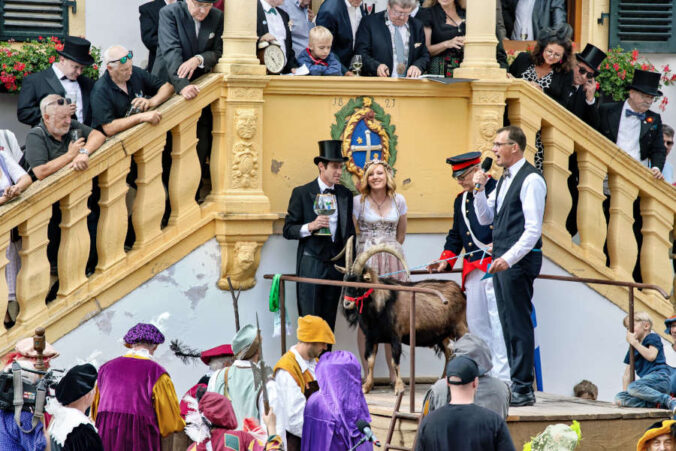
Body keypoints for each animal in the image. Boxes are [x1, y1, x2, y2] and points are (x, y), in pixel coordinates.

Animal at [336, 238, 468, 394]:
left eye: (358, 284)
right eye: (345, 281)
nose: (347, 304)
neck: (381, 307)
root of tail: (459, 291)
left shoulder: (396, 336)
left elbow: (395, 361)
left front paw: (399, 388)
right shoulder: (371, 337)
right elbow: (370, 360)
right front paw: (366, 386)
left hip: (460, 327)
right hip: (443, 334)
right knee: (449, 352)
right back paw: (442, 379)